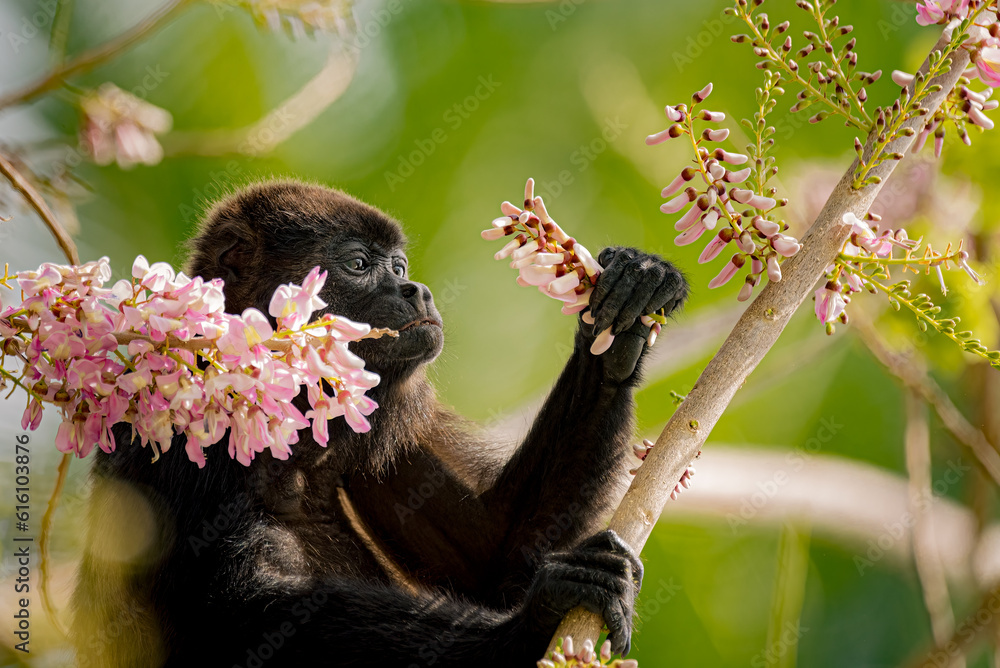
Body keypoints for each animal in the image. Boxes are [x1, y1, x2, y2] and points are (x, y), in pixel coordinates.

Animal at [74, 181, 692, 668]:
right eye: (358, 264)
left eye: (398, 266)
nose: (416, 289)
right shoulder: (181, 417)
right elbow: (235, 611)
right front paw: (530, 625)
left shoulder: (381, 427)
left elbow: (496, 552)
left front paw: (628, 305)